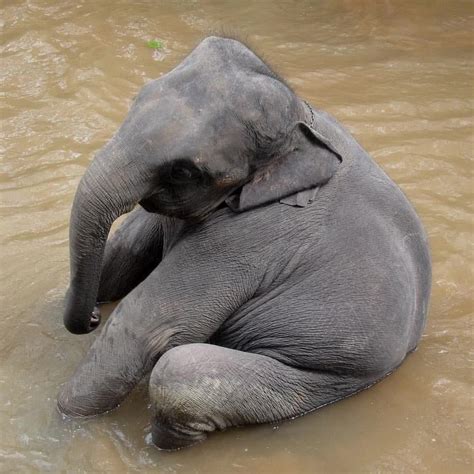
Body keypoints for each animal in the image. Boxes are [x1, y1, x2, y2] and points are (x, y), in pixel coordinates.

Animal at [57, 36, 432, 448]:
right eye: (138, 98)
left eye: (184, 170)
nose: (93, 317)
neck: (302, 118)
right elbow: (123, 258)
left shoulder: (249, 237)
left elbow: (144, 330)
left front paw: (65, 423)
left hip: (329, 377)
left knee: (179, 374)